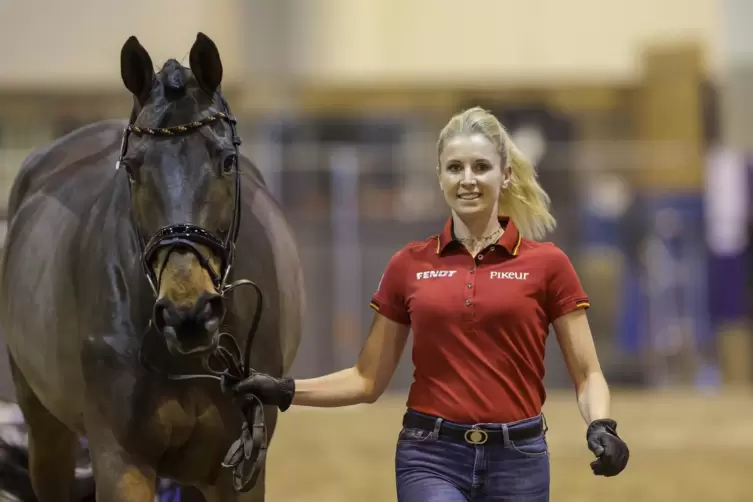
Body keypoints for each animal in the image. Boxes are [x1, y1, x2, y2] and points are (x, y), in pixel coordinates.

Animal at [0, 33, 302, 500]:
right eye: (133, 167)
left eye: (226, 160)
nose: (187, 313)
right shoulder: (120, 460)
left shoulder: (239, 471)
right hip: (45, 429)